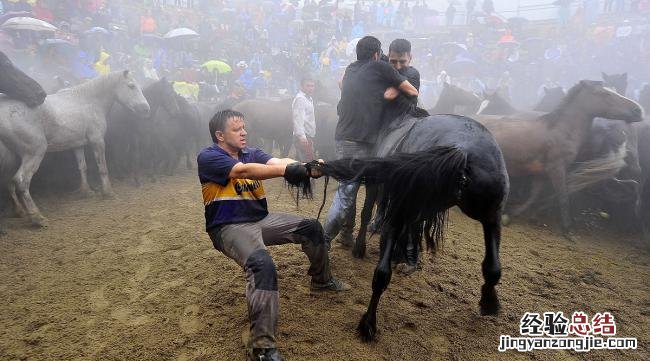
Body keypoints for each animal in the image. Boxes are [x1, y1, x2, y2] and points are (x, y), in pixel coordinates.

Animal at [314, 114, 506, 340]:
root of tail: (461, 147)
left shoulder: (377, 187)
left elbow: (367, 214)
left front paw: (364, 248)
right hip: (487, 214)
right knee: (492, 267)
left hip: (405, 206)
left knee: (382, 269)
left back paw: (368, 322)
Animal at [474, 80, 640, 235]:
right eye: (605, 94)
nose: (638, 110)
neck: (561, 130)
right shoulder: (557, 168)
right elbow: (563, 196)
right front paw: (568, 230)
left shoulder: (540, 173)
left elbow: (534, 196)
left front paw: (510, 215)